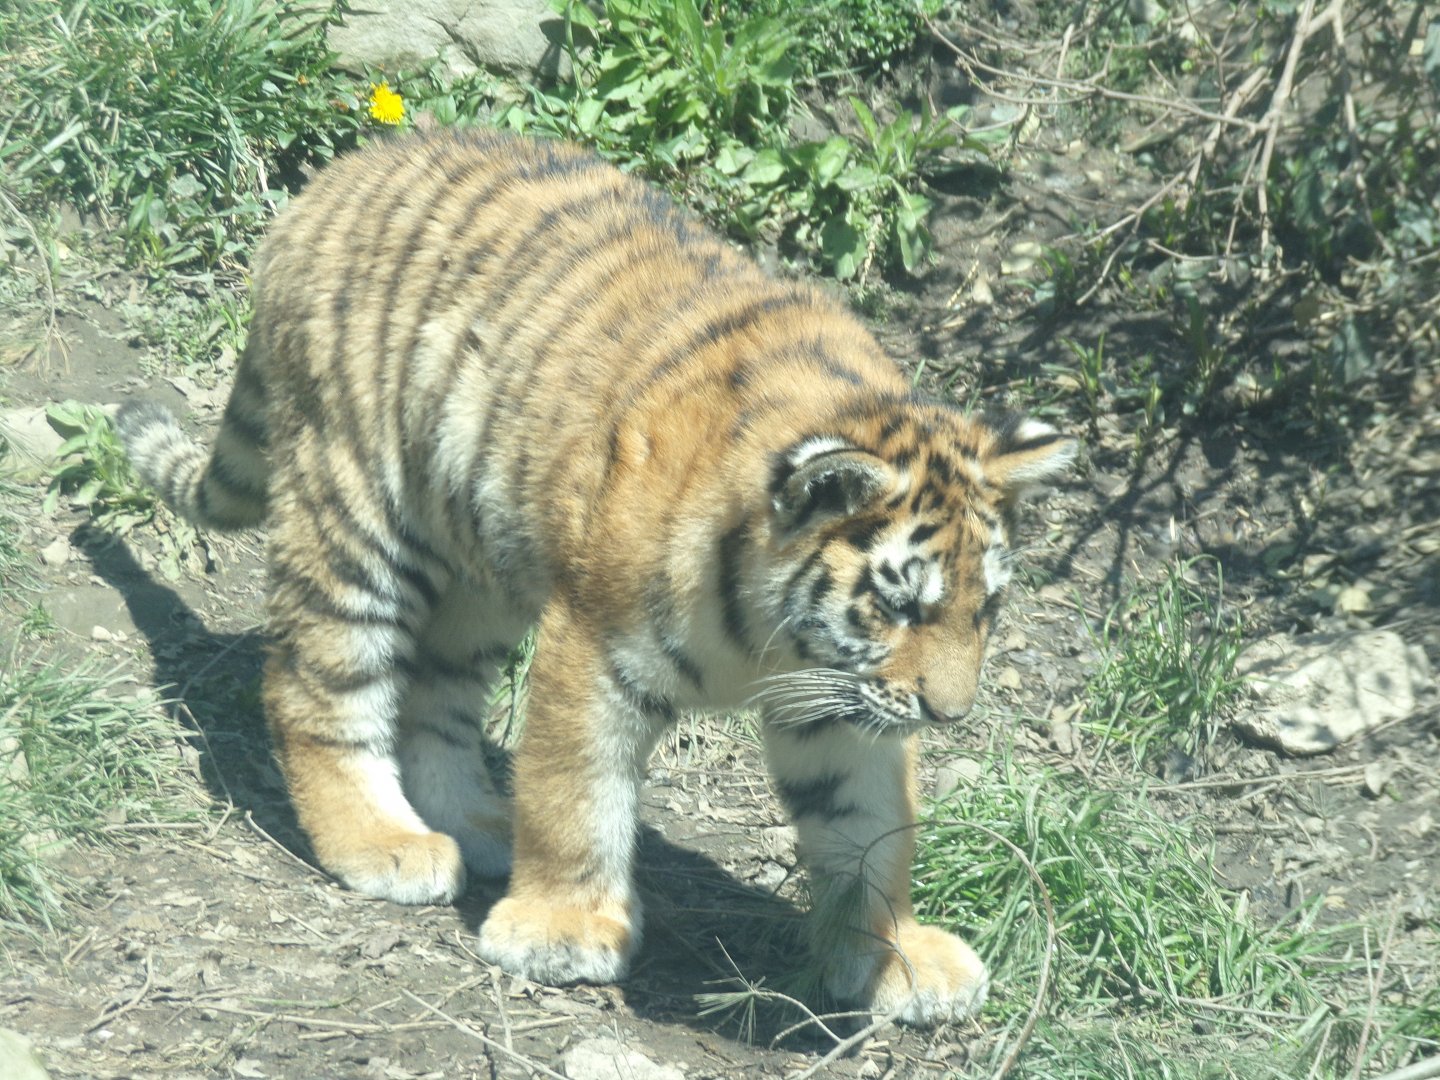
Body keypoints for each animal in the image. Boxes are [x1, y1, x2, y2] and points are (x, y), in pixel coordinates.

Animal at [117, 129, 1077, 1028]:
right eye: (898, 604)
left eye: (985, 610)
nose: (951, 715)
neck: (774, 640)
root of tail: (339, 175)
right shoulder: (596, 643)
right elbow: (575, 792)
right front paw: (562, 931)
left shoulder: (840, 701)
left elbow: (869, 828)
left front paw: (892, 954)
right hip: (353, 506)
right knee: (317, 683)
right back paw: (382, 841)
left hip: (479, 562)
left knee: (433, 689)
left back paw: (472, 822)